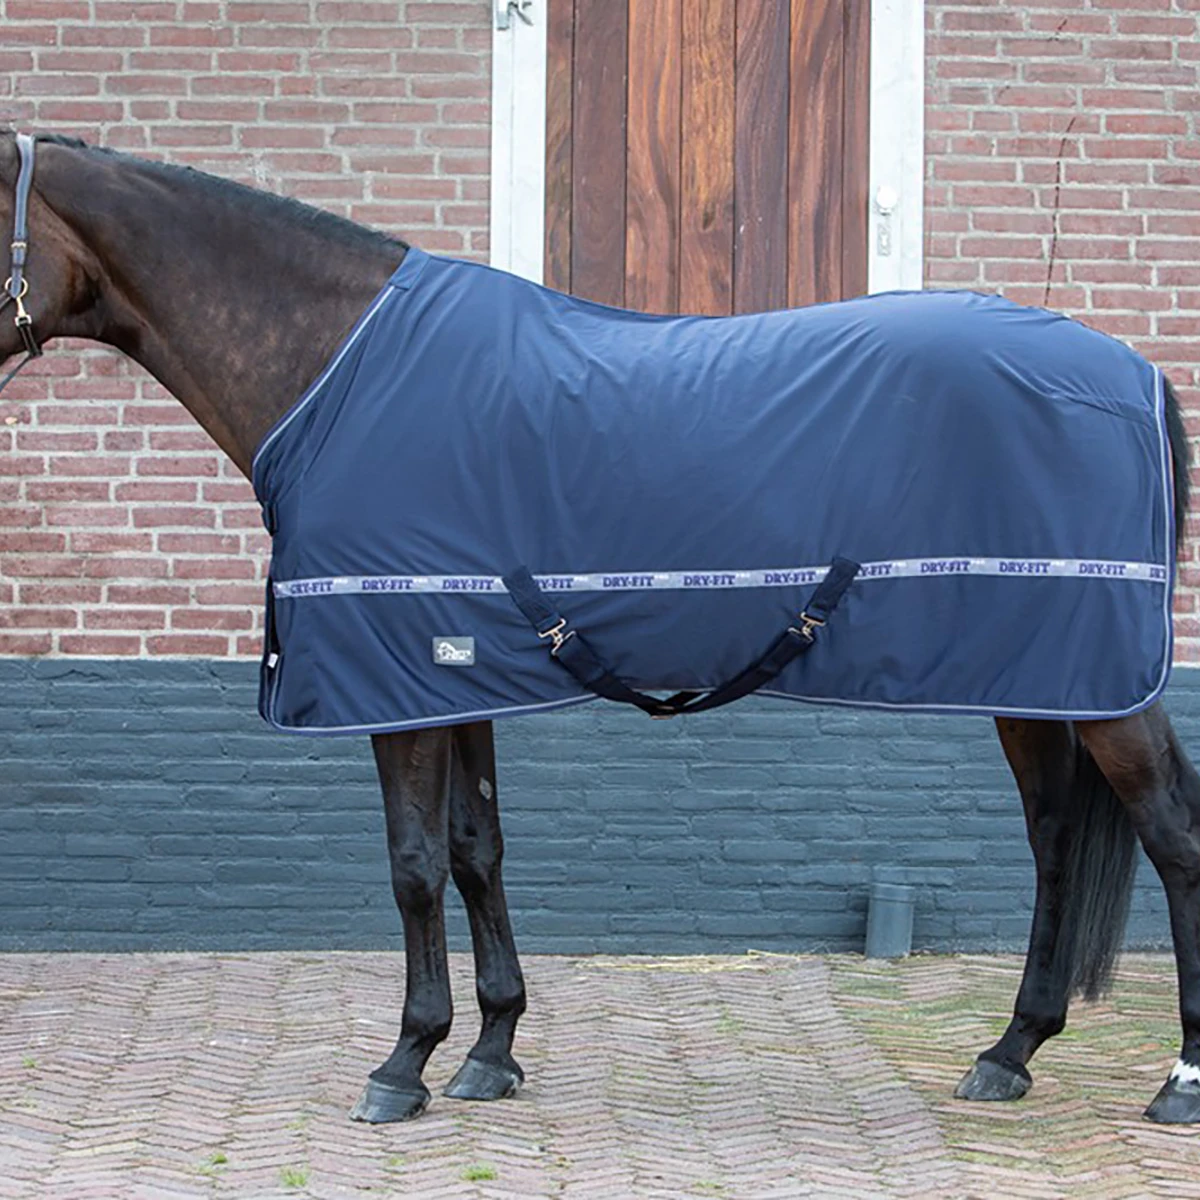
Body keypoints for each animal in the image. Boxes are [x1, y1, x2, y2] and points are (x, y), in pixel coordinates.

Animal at [2, 131, 1199, 1127]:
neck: (340, 370)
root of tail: (1137, 372)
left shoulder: (401, 682)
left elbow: (412, 867)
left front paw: (404, 1065)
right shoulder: (458, 674)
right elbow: (477, 851)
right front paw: (490, 1051)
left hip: (1103, 690)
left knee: (1174, 836)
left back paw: (1177, 1080)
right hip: (1038, 681)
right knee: (1054, 842)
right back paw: (1009, 1051)